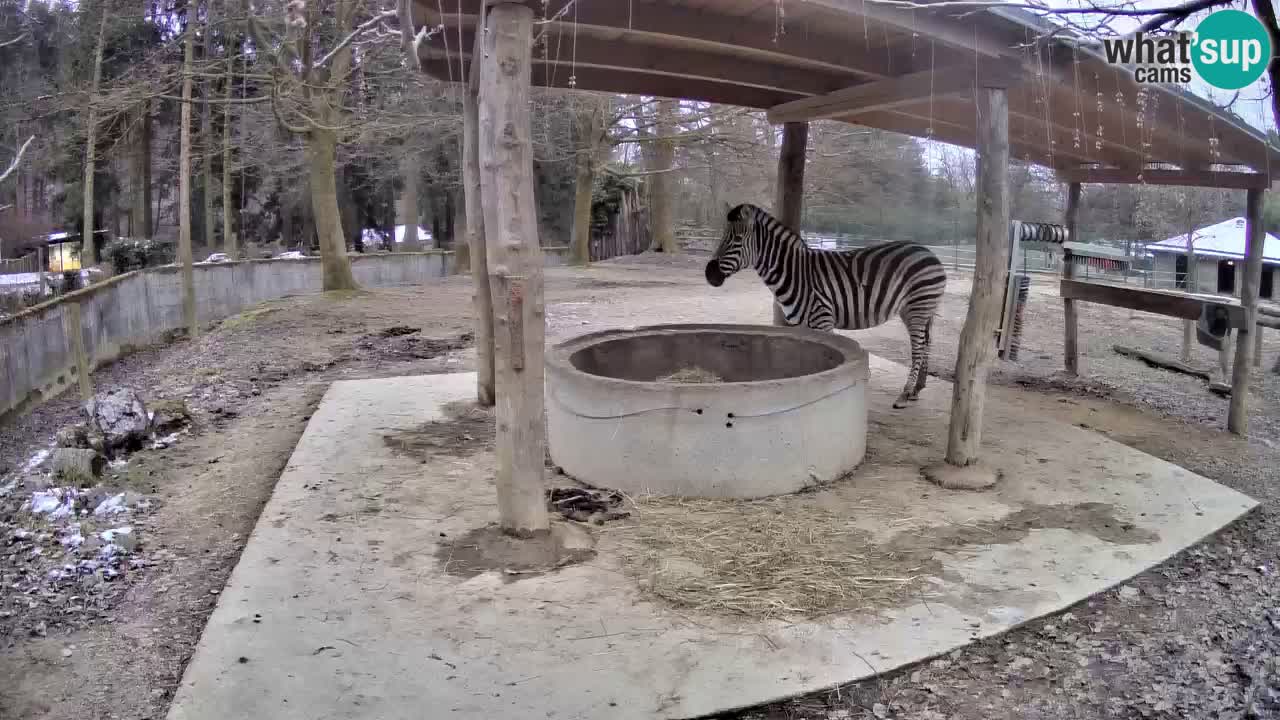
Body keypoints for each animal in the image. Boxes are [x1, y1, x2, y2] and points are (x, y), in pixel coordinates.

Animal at [706, 202, 947, 407]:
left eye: (737, 238)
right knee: (927, 343)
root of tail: (928, 252)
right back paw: (917, 389)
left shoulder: (823, 319)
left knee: (918, 348)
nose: (709, 274)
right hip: (918, 309)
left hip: (918, 305)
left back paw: (905, 394)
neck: (795, 274)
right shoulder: (801, 325)